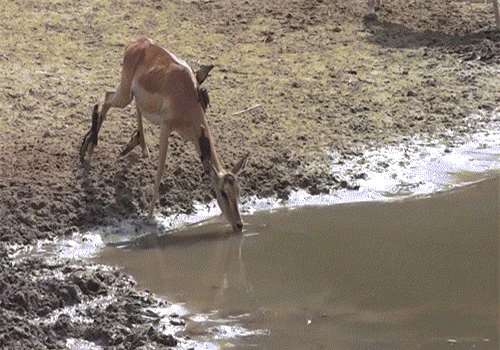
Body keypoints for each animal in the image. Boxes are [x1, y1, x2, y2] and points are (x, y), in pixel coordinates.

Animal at [80, 37, 250, 232]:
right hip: (124, 95)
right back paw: (88, 153)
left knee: (129, 104)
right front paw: (149, 218)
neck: (186, 97)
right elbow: (160, 171)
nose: (239, 225)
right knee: (106, 99)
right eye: (223, 192)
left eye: (238, 190)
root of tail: (138, 43)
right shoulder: (166, 127)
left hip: (131, 95)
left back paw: (139, 147)